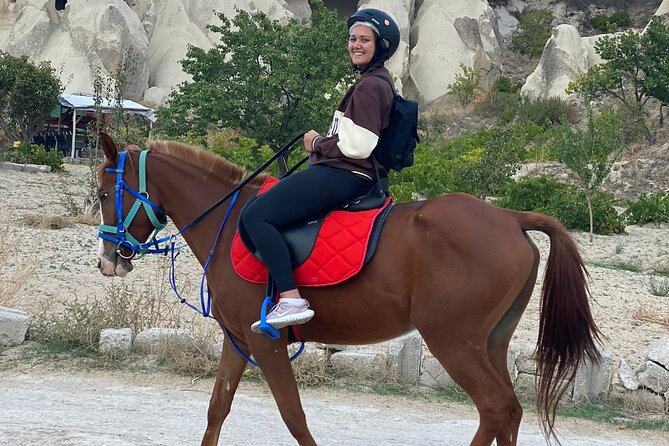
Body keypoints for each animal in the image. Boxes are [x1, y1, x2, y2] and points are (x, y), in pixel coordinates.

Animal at [95, 133, 602, 446]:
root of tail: (511, 218)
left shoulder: (266, 343)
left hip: (453, 342)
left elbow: (293, 415)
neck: (229, 218)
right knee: (509, 412)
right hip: (490, 344)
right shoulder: (237, 339)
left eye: (102, 194)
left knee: (495, 408)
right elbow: (217, 408)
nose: (108, 261)